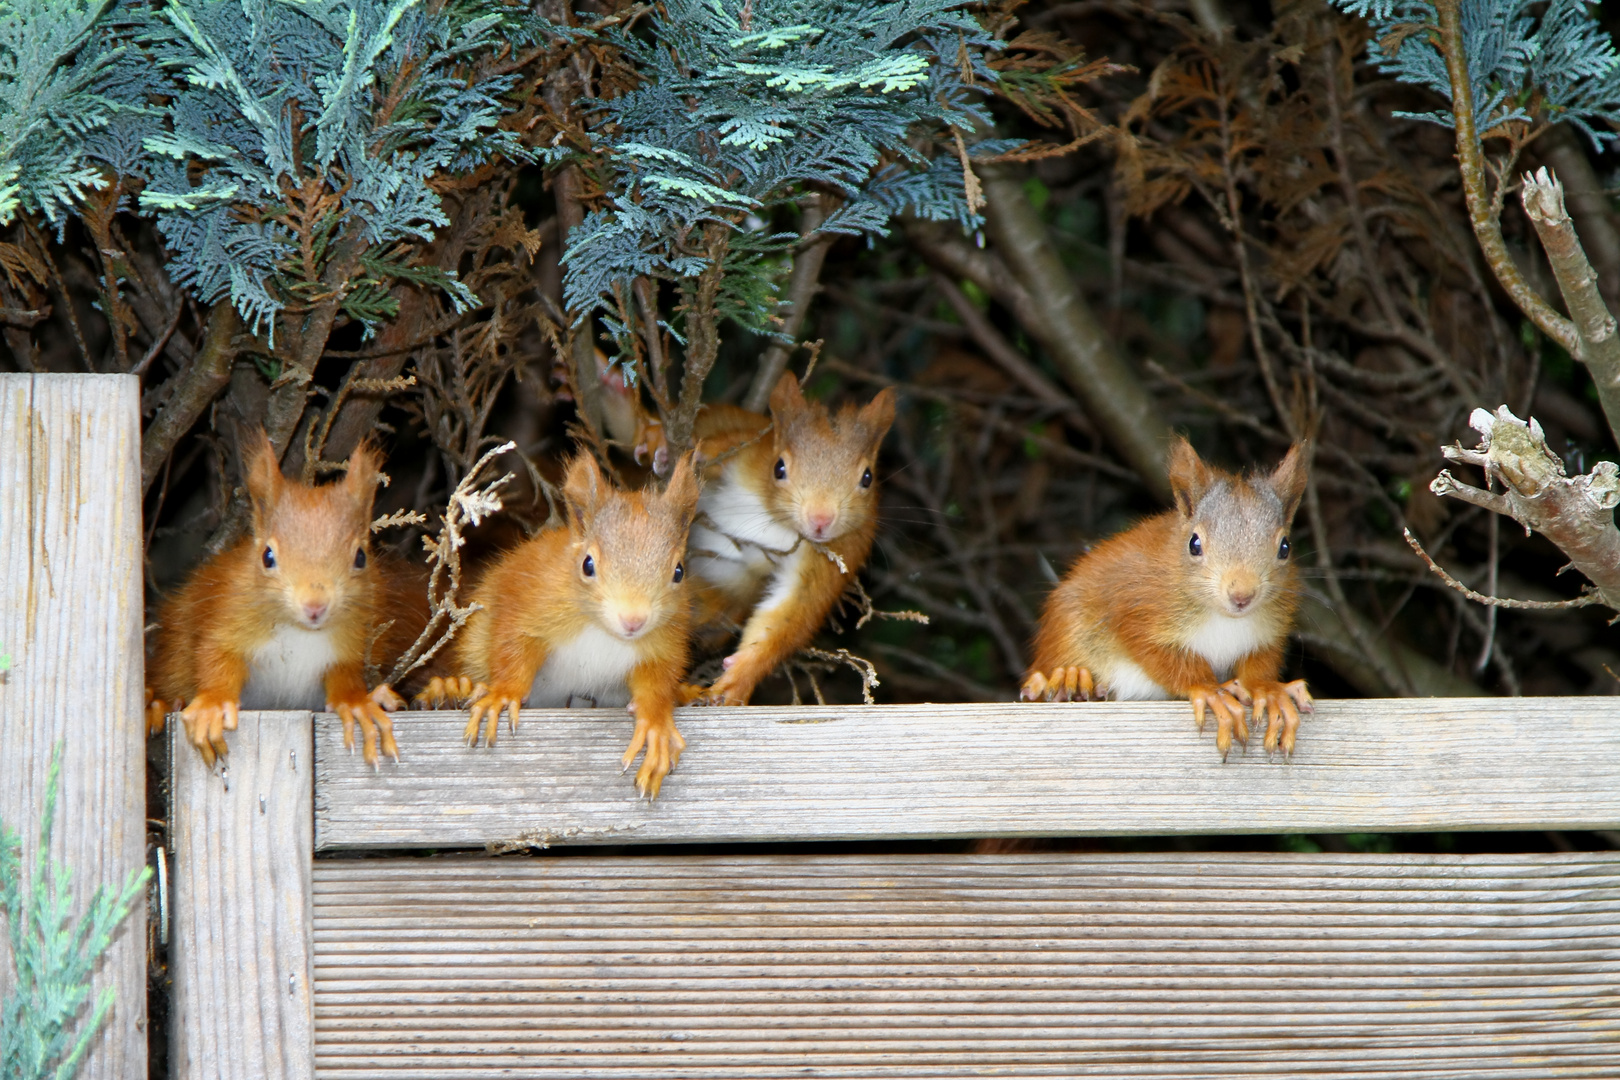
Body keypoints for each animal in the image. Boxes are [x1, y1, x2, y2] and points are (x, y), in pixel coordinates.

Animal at [144, 430, 427, 767]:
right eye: (267, 556)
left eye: (361, 557)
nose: (315, 606)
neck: (300, 632)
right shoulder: (228, 613)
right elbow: (216, 656)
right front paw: (213, 704)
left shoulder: (353, 641)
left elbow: (345, 676)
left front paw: (355, 704)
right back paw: (159, 706)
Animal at [414, 453, 699, 799]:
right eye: (587, 565)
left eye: (679, 571)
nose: (633, 620)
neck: (604, 632)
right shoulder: (528, 603)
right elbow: (513, 645)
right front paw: (503, 694)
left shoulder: (664, 643)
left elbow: (658, 682)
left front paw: (656, 724)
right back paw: (449, 689)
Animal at [1023, 440, 1315, 761]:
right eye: (1194, 544)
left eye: (1285, 548)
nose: (1242, 595)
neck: (1224, 617)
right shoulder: (1136, 606)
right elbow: (1158, 653)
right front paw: (1209, 690)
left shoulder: (1267, 632)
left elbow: (1259, 663)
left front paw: (1269, 690)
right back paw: (1069, 680)